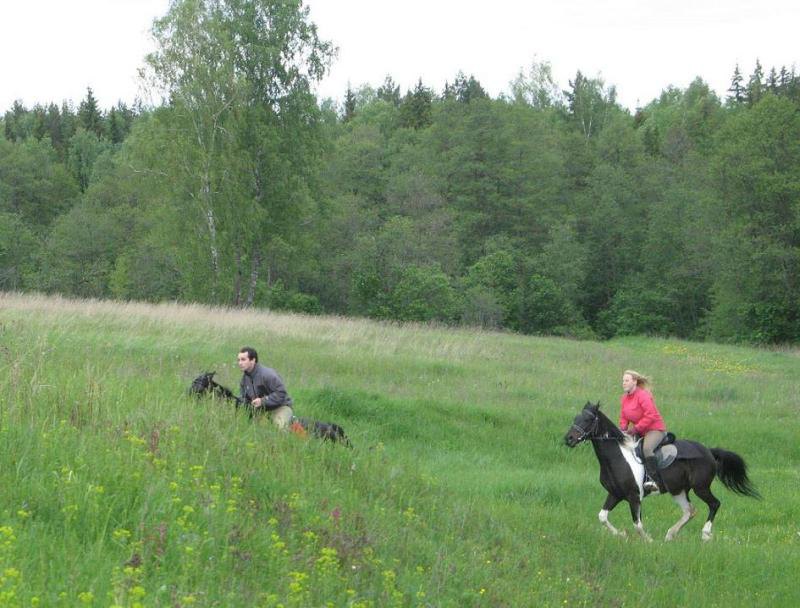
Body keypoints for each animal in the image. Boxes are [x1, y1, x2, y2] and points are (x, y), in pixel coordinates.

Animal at [560, 404, 760, 540]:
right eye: (576, 418)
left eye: (587, 420)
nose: (568, 439)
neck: (618, 457)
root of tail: (709, 452)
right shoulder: (615, 494)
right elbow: (602, 516)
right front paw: (621, 535)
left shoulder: (634, 497)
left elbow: (638, 525)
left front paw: (648, 541)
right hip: (678, 490)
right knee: (689, 511)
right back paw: (670, 534)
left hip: (700, 487)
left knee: (714, 504)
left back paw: (705, 534)